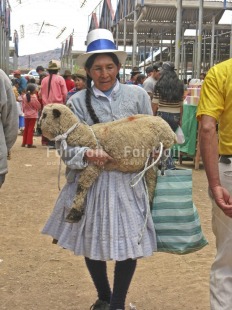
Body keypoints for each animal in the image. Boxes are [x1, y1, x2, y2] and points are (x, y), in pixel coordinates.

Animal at [41, 104, 176, 223]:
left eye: (44, 115)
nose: (37, 128)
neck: (86, 134)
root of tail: (172, 133)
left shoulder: (95, 164)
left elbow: (82, 185)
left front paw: (74, 213)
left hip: (156, 153)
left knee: (152, 181)